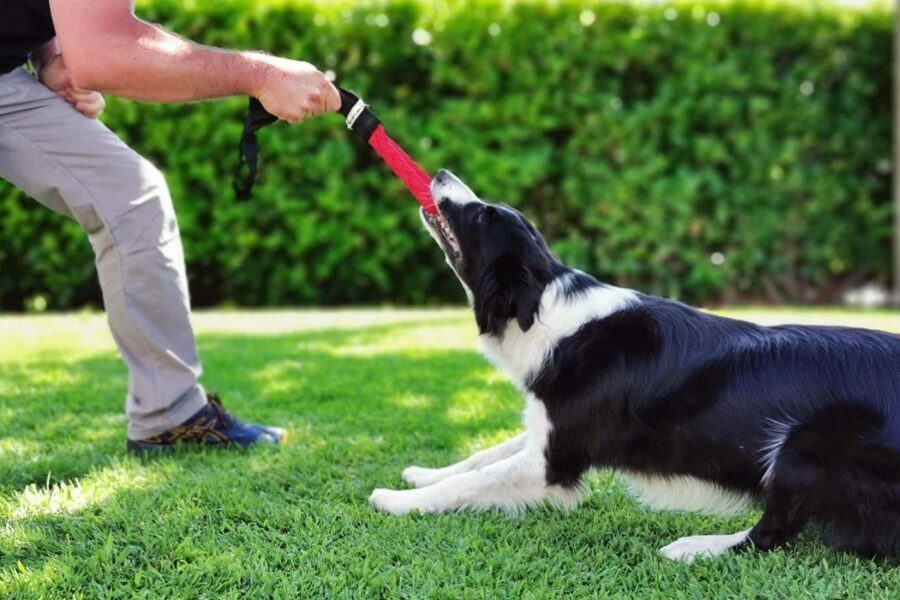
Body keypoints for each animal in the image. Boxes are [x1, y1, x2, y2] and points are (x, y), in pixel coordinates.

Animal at [368, 169, 900, 564]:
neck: (541, 306)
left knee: (774, 532)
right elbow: (481, 457)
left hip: (809, 441)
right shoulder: (553, 426)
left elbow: (473, 481)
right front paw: (422, 474)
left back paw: (694, 547)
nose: (440, 173)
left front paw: (397, 501)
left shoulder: (553, 460)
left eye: (482, 214)